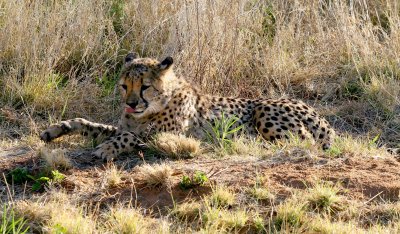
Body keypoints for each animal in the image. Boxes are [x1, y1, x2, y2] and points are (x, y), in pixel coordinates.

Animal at [40, 52, 334, 161]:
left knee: (303, 142)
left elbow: (128, 137)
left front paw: (107, 149)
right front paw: (56, 129)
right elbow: (92, 125)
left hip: (265, 112)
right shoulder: (126, 124)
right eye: (124, 86)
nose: (131, 104)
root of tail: (319, 116)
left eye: (144, 86)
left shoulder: (169, 136)